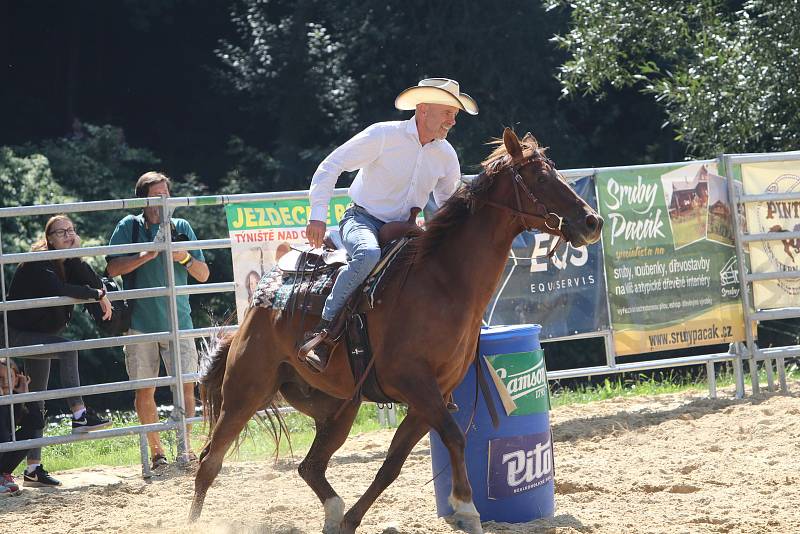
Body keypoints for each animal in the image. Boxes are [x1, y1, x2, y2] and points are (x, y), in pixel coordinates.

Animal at [192, 127, 600, 532]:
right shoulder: (415, 383)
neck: (444, 281)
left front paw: (352, 521)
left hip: (337, 407)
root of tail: (259, 302)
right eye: (540, 177)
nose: (591, 222)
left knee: (310, 466)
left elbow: (392, 465)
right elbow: (454, 437)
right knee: (210, 461)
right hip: (246, 390)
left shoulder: (431, 396)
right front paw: (467, 509)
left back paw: (335, 512)